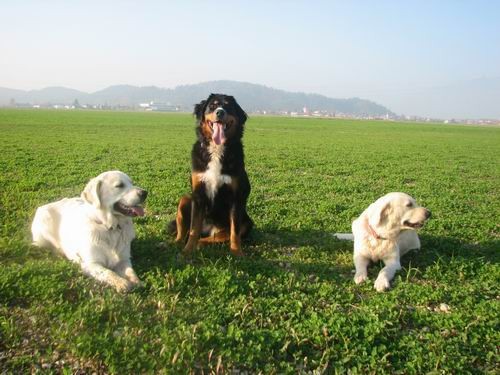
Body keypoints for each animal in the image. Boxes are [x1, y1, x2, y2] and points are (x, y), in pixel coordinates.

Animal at [170, 95, 254, 258]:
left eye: (228, 106)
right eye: (212, 106)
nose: (220, 112)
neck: (217, 148)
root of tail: (209, 229)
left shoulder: (236, 198)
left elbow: (234, 232)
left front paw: (237, 252)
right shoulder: (198, 195)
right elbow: (193, 229)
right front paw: (187, 251)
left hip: (247, 222)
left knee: (217, 237)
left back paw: (202, 243)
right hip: (185, 199)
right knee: (184, 233)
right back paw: (176, 243)